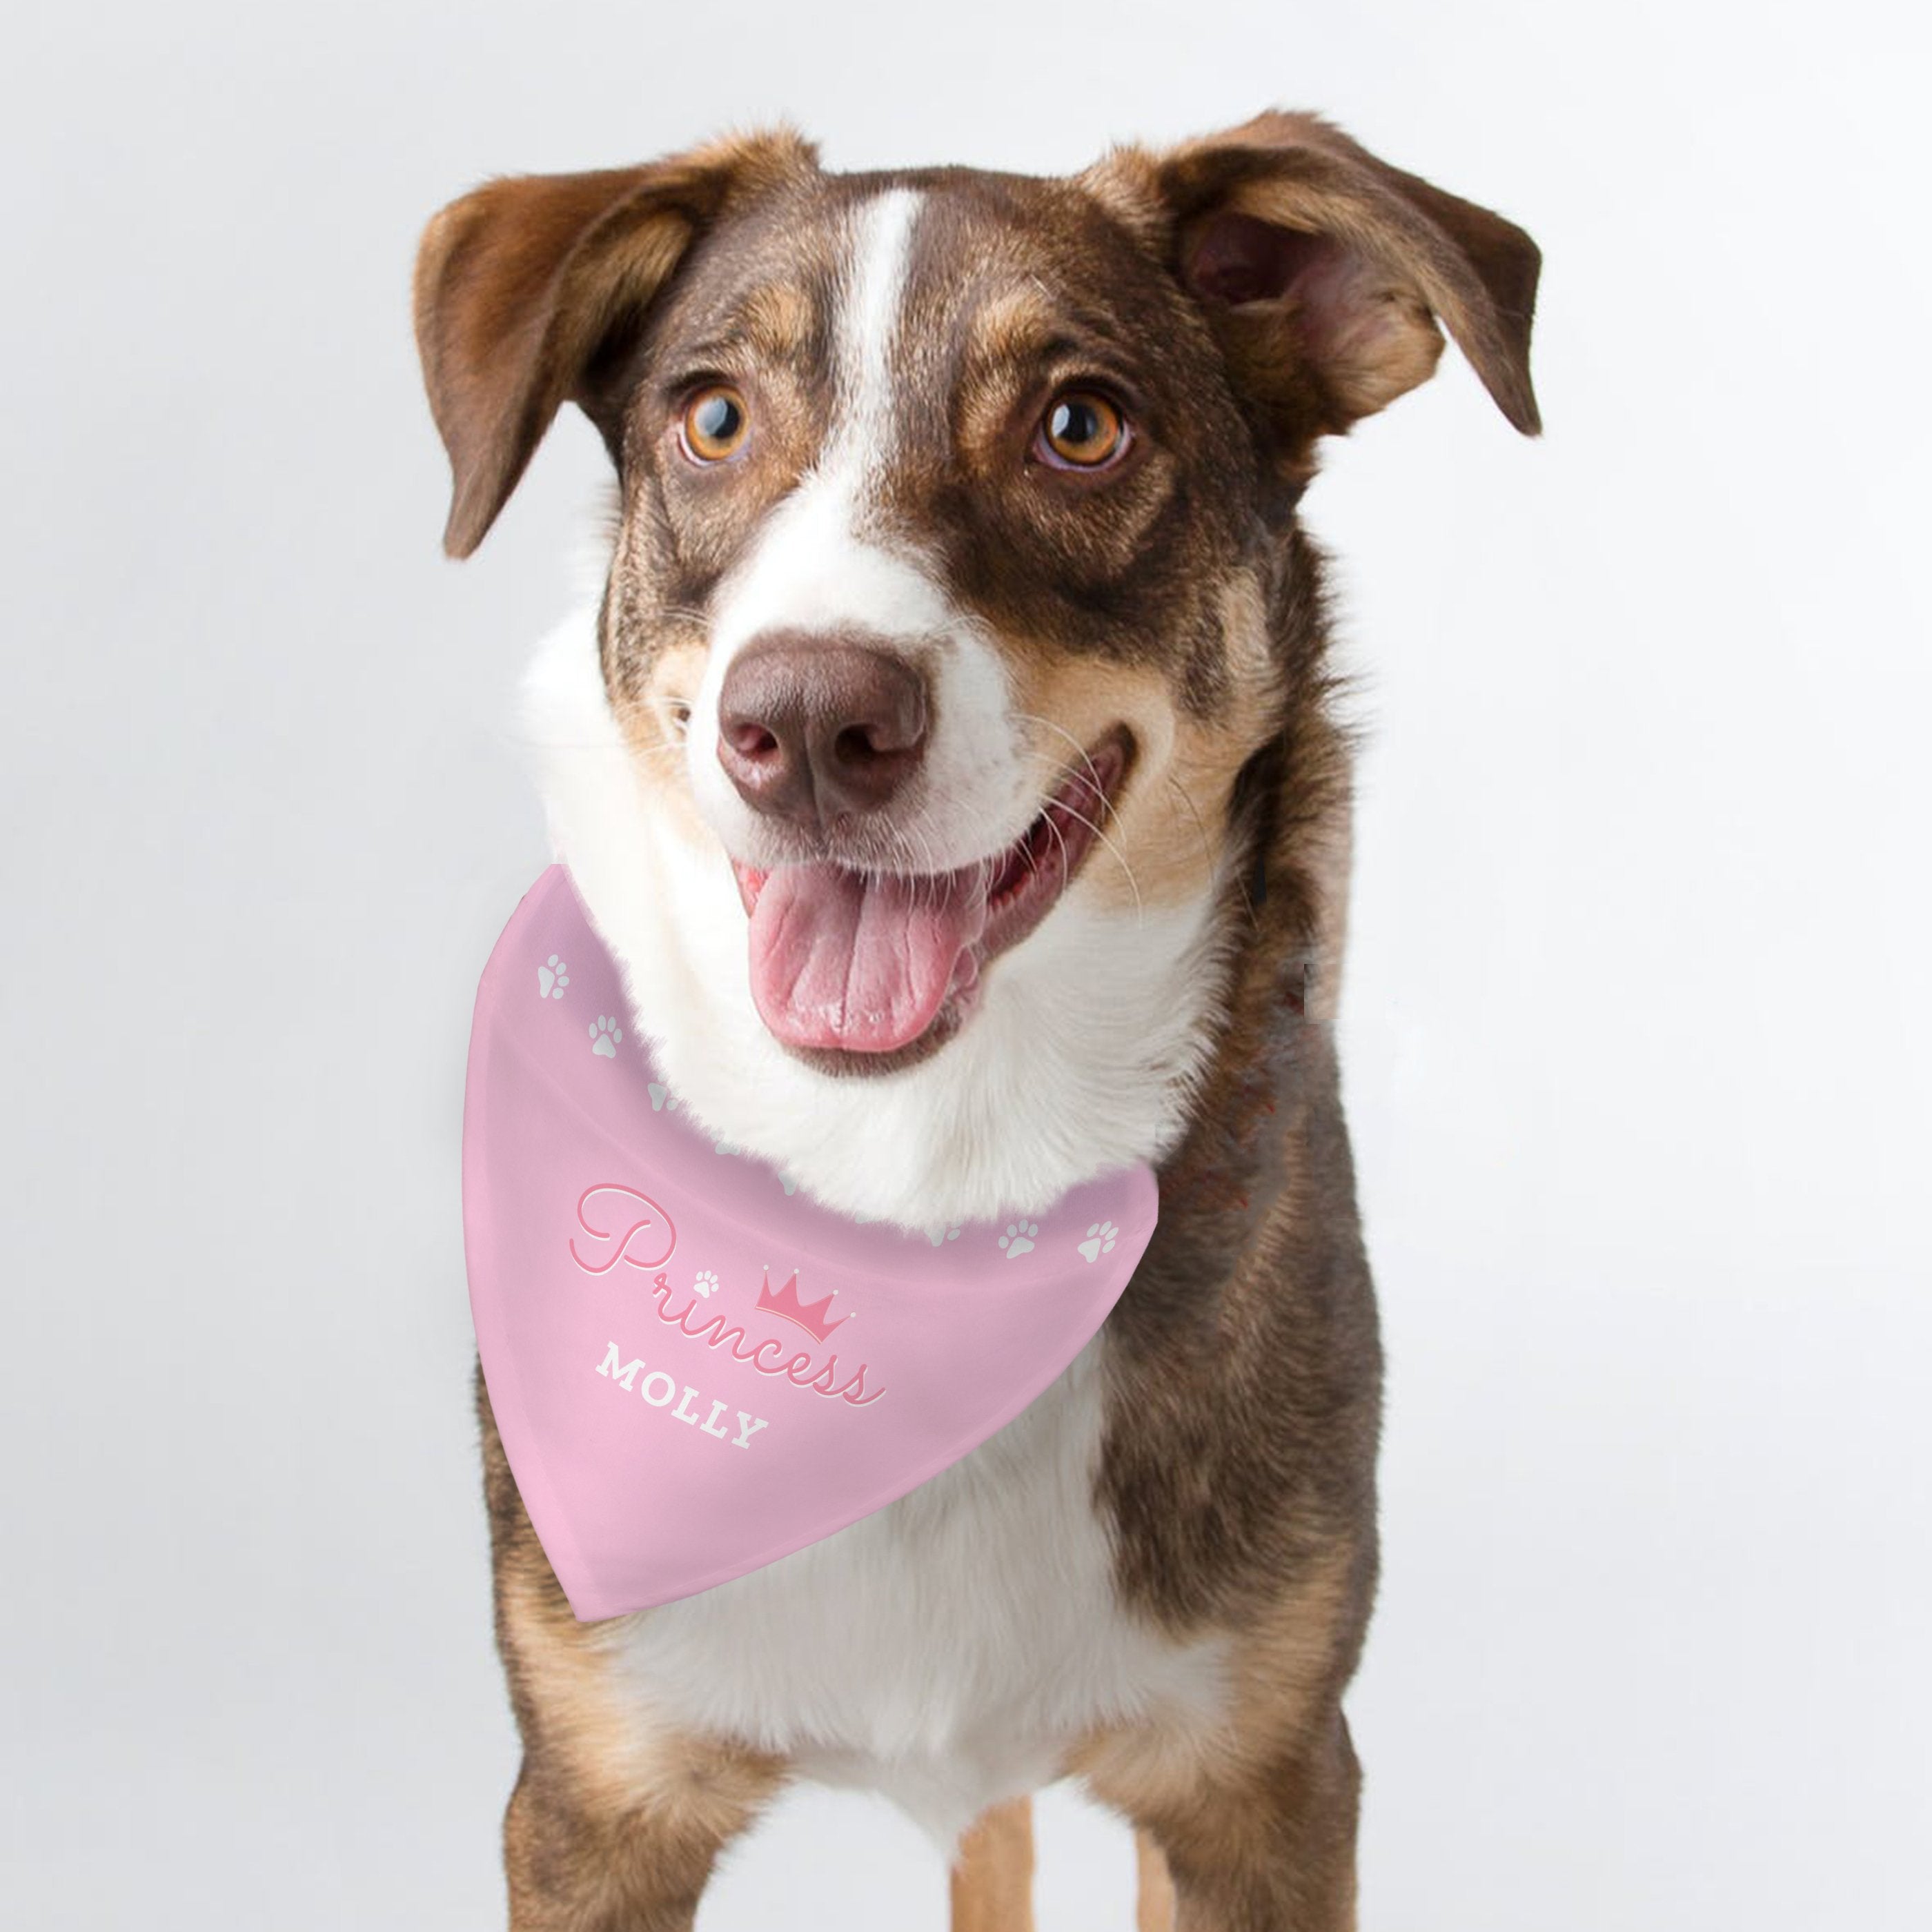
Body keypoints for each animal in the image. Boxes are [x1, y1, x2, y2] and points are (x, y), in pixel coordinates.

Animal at [411, 117, 1537, 1932]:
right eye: (711, 416)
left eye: (1081, 425)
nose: (807, 719)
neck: (918, 1187)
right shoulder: (591, 1795)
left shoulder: (1263, 1784)